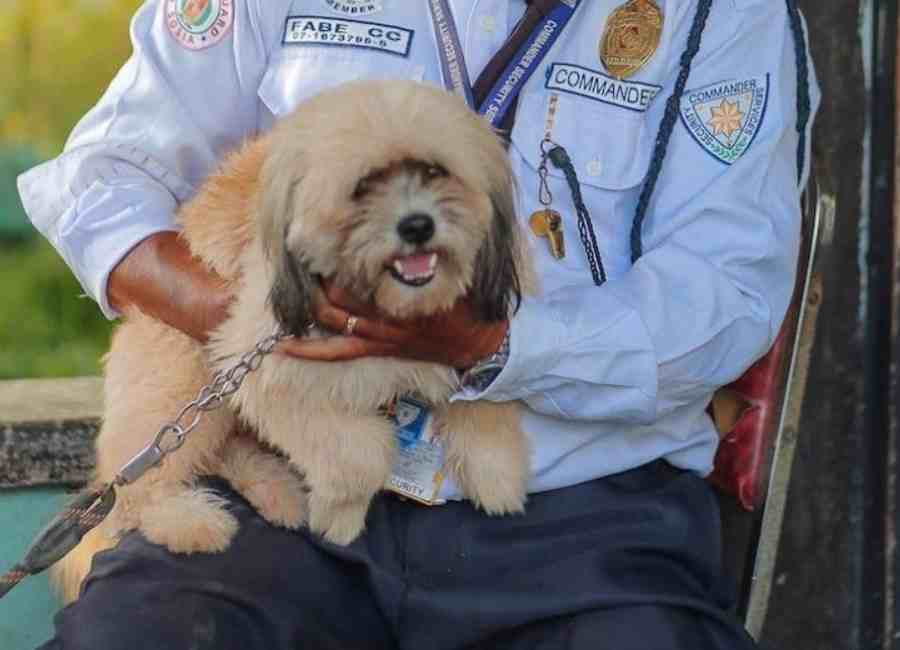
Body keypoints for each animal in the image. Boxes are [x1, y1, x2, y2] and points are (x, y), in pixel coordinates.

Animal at [56, 81, 532, 604]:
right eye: (362, 186)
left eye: (435, 171)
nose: (417, 226)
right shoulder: (269, 370)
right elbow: (361, 454)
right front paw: (338, 518)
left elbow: (486, 400)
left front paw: (498, 473)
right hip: (186, 387)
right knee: (136, 485)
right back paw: (187, 520)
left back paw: (275, 491)